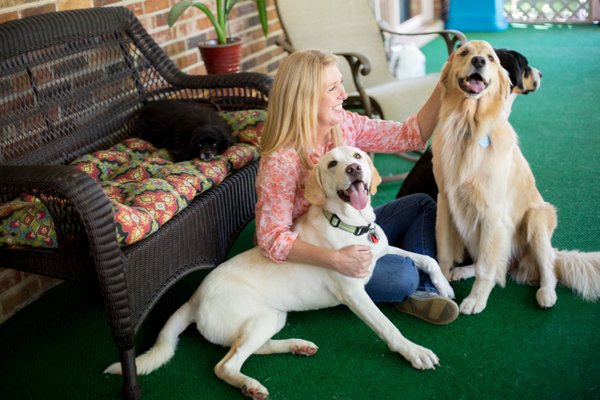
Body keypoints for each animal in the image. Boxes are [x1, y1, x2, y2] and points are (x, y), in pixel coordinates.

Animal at [104, 146, 454, 400]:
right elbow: (388, 327)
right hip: (258, 319)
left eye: (356, 156)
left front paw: (444, 286)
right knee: (225, 365)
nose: (354, 169)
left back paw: (297, 346)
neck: (349, 223)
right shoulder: (355, 293)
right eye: (332, 164)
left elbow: (425, 259)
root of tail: (193, 299)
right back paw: (250, 385)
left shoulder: (380, 252)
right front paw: (414, 352)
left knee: (250, 348)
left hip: (271, 317)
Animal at [432, 40, 600, 316]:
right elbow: (444, 252)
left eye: (490, 58)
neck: (468, 126)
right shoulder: (445, 203)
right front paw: (442, 283)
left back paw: (547, 293)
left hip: (537, 218)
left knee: (547, 267)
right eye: (464, 52)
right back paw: (462, 270)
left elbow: (487, 267)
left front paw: (476, 299)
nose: (478, 61)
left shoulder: (492, 213)